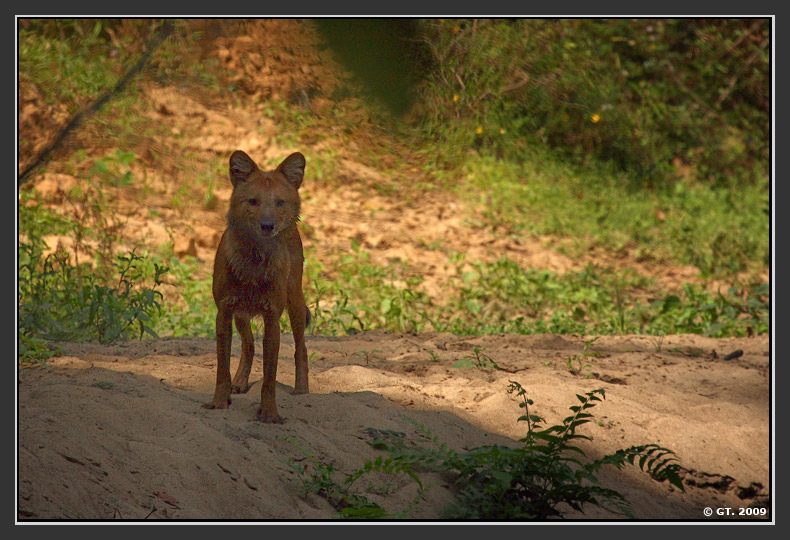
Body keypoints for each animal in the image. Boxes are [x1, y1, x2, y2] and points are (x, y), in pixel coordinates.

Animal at [203, 150, 310, 424]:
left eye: (279, 202)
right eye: (253, 201)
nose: (267, 225)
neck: (254, 263)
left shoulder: (273, 317)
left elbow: (270, 378)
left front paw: (270, 413)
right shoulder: (224, 311)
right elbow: (222, 368)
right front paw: (220, 402)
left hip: (295, 302)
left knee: (301, 347)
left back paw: (302, 389)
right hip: (241, 313)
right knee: (249, 344)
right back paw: (239, 381)